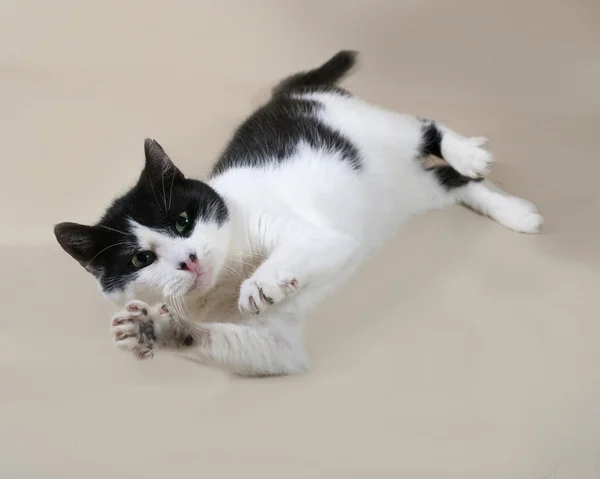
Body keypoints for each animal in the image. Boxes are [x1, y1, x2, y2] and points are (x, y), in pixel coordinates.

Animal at [55, 50, 544, 376]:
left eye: (182, 221)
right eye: (142, 259)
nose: (189, 259)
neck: (225, 278)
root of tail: (290, 92)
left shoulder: (318, 236)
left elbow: (302, 249)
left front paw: (262, 283)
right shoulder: (278, 347)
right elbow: (237, 342)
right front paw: (155, 330)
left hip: (382, 131)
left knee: (427, 127)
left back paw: (471, 155)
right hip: (410, 192)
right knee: (452, 183)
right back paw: (516, 212)